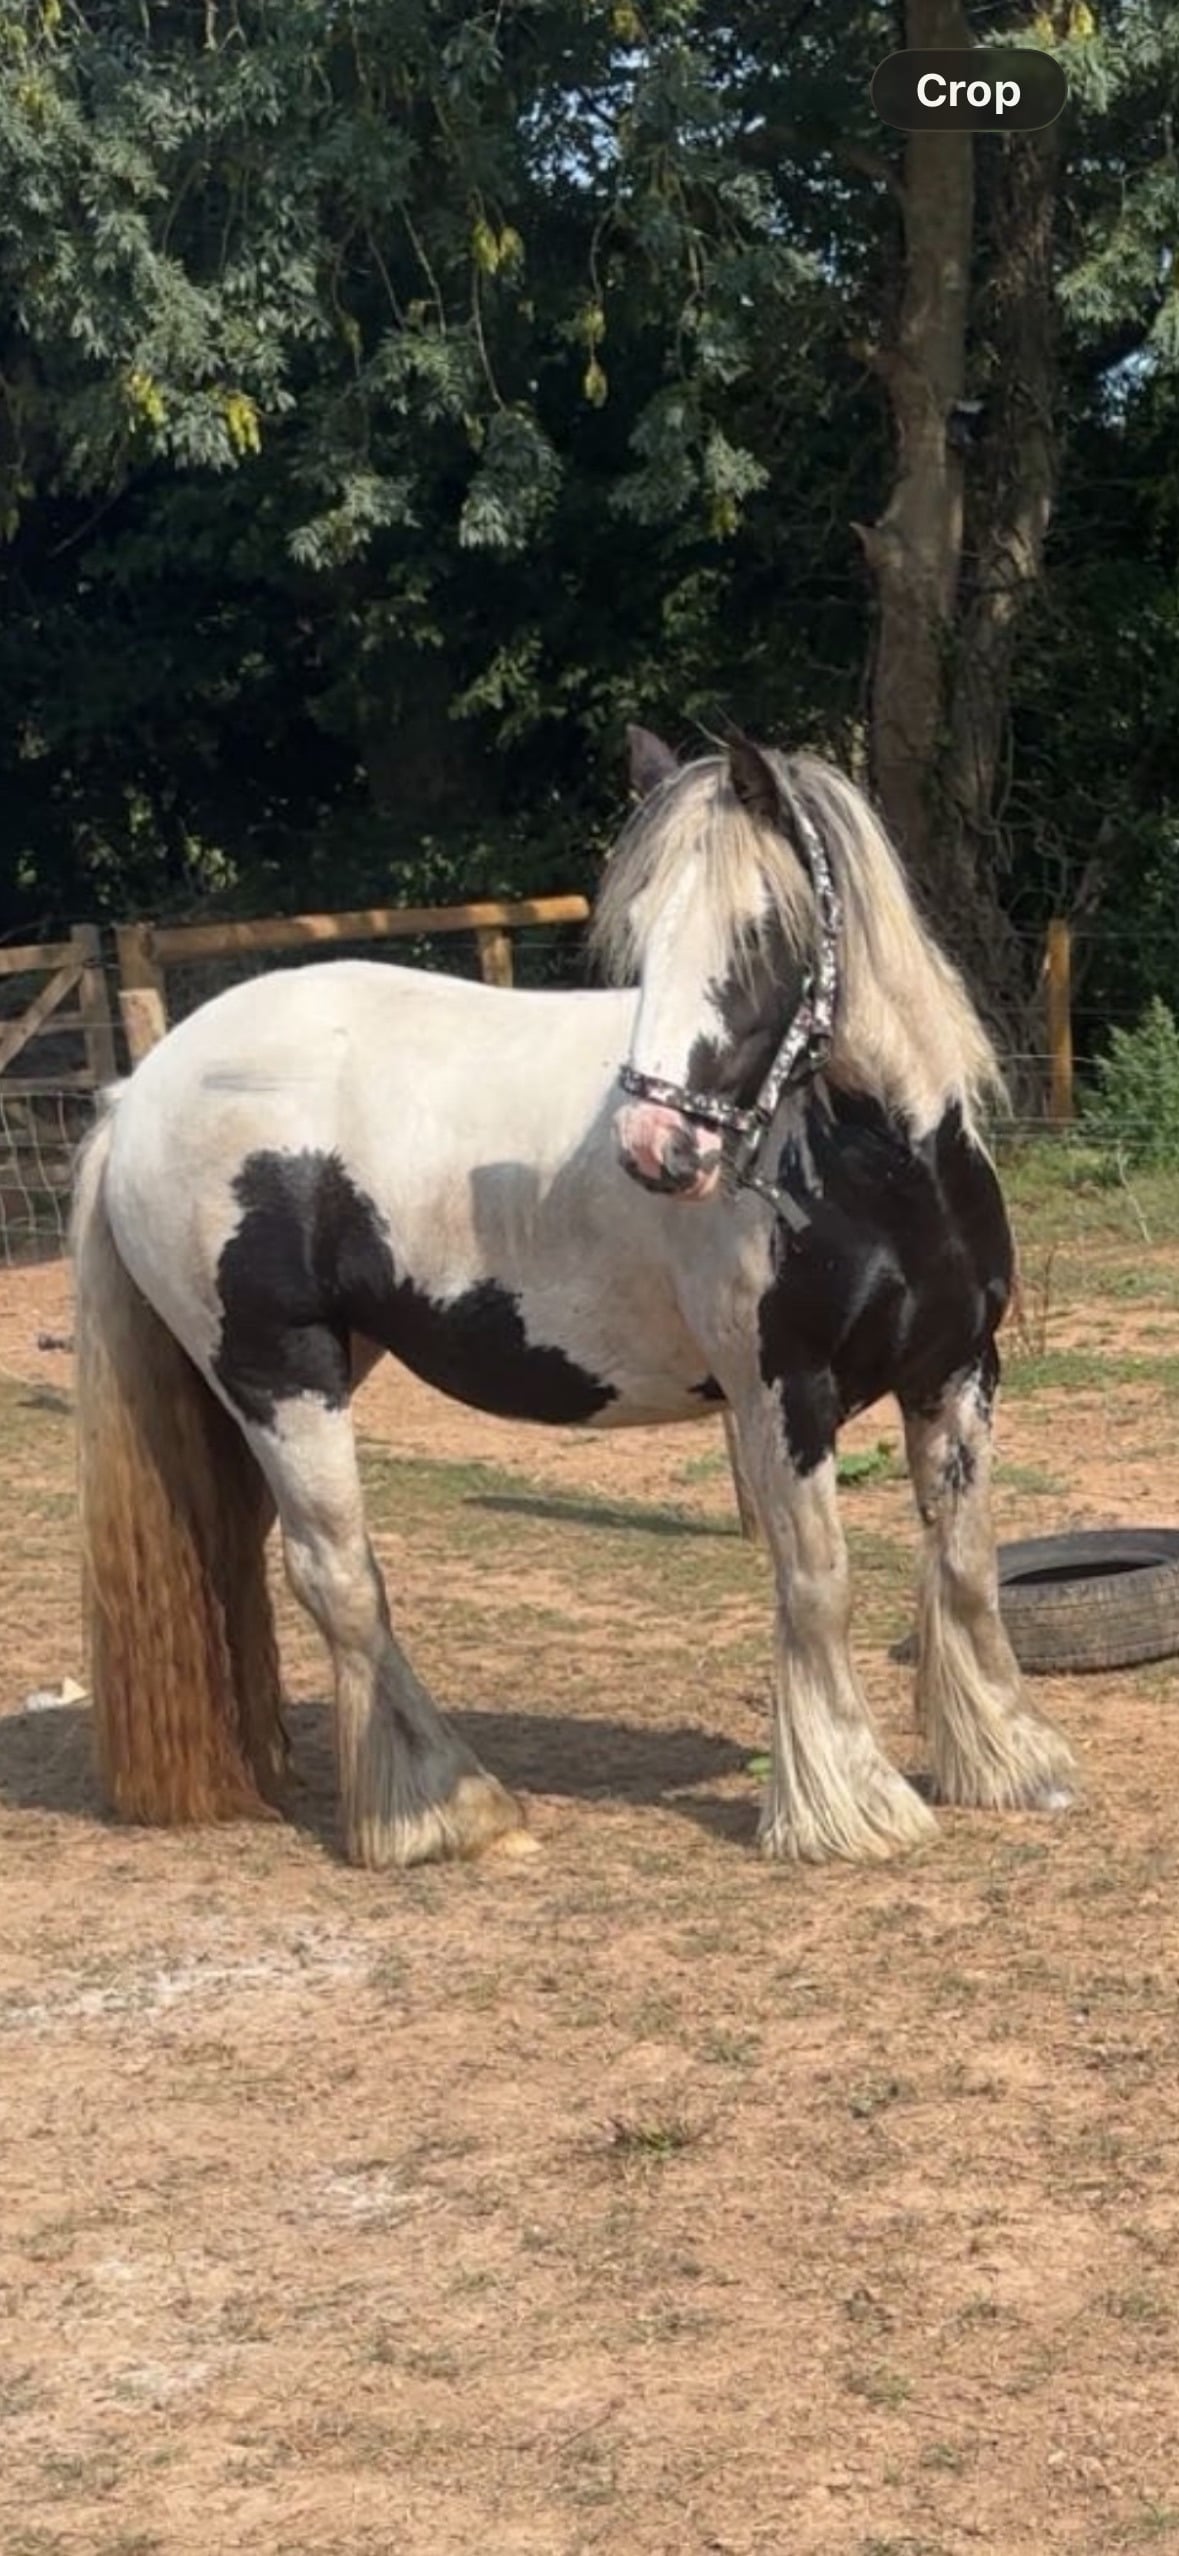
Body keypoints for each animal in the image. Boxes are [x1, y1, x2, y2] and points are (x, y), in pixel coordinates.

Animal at [71, 728, 1077, 1870]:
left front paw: (1006, 1762)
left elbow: (965, 1563)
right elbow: (817, 1583)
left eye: (762, 931)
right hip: (281, 1377)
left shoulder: (956, 1372)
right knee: (336, 1576)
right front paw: (849, 1808)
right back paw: (447, 1807)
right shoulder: (783, 1395)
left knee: (240, 1560)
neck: (879, 1175)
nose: (655, 1147)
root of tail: (140, 1090)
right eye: (639, 937)